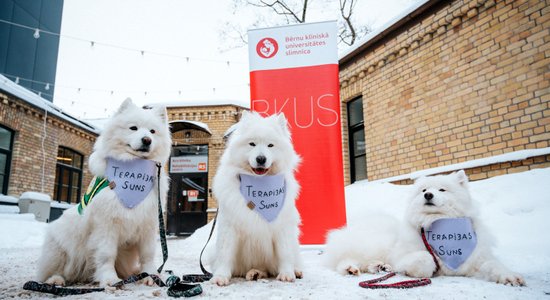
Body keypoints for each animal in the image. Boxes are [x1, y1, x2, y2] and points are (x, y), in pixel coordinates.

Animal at [37, 98, 171, 286]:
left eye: (153, 131)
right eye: (133, 128)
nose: (147, 140)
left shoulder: (148, 225)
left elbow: (148, 254)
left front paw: (150, 275)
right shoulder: (106, 225)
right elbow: (107, 254)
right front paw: (109, 279)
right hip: (61, 246)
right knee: (53, 270)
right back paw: (55, 279)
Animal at [210, 110, 304, 286]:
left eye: (270, 145)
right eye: (252, 144)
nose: (261, 159)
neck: (259, 183)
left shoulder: (282, 226)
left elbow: (285, 252)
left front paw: (287, 274)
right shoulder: (229, 226)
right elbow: (225, 253)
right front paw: (220, 276)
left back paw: (295, 270)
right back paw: (254, 273)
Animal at [326, 171, 528, 286]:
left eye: (442, 190)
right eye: (423, 191)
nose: (428, 195)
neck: (438, 221)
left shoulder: (476, 259)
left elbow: (494, 265)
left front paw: (510, 277)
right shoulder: (405, 256)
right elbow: (425, 258)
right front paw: (421, 271)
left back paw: (380, 266)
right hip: (372, 245)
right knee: (343, 260)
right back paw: (351, 268)